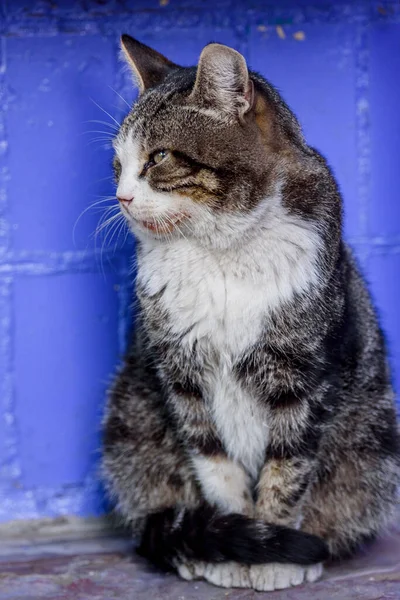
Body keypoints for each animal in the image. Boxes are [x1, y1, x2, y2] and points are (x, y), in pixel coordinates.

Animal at [102, 35, 400, 592]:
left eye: (159, 157)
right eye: (117, 163)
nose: (122, 196)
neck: (221, 253)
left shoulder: (304, 376)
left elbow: (288, 471)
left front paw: (276, 553)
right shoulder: (180, 375)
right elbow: (215, 466)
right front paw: (238, 543)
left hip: (374, 441)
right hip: (128, 424)